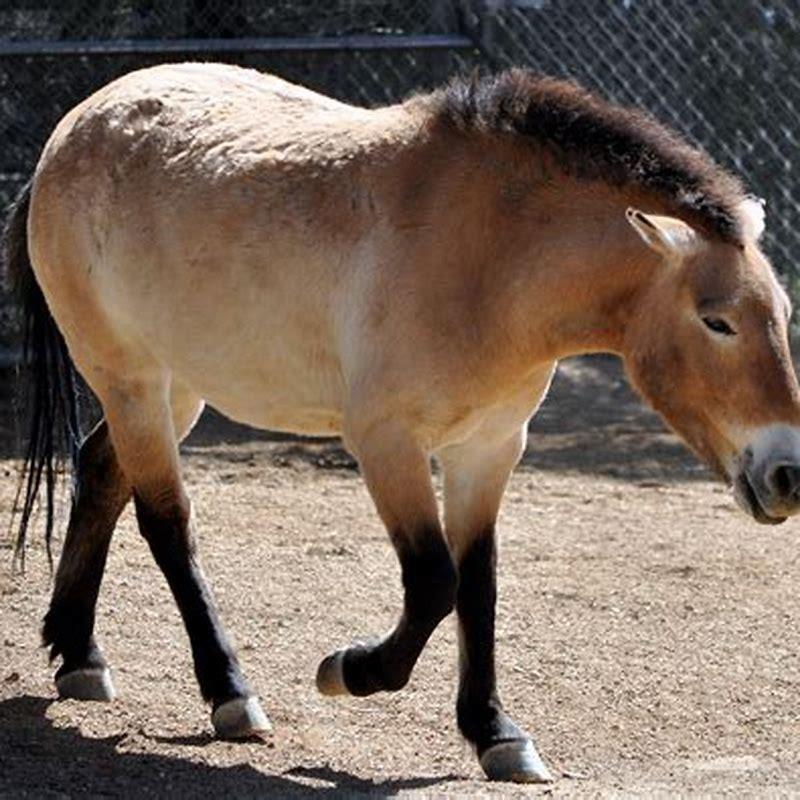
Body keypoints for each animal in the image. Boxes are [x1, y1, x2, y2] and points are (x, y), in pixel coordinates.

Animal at [4, 62, 800, 784]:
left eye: (782, 313)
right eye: (717, 321)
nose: (787, 474)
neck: (490, 256)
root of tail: (70, 135)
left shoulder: (489, 448)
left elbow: (478, 583)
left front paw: (495, 734)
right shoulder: (386, 442)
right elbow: (433, 582)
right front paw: (349, 670)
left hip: (177, 387)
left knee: (101, 472)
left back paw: (79, 657)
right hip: (130, 378)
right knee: (167, 523)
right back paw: (230, 695)